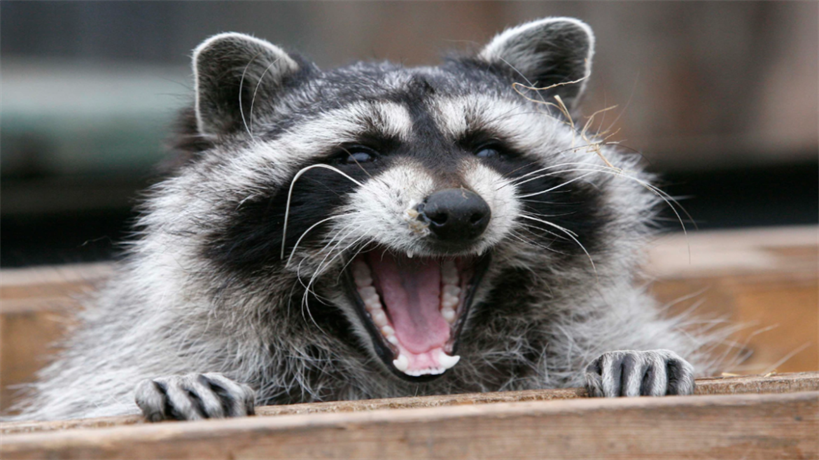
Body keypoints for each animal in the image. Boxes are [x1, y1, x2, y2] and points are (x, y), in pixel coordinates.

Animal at [12, 17, 722, 422]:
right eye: (359, 155)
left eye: (487, 148)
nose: (457, 212)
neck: (413, 383)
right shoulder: (143, 343)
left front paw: (634, 352)